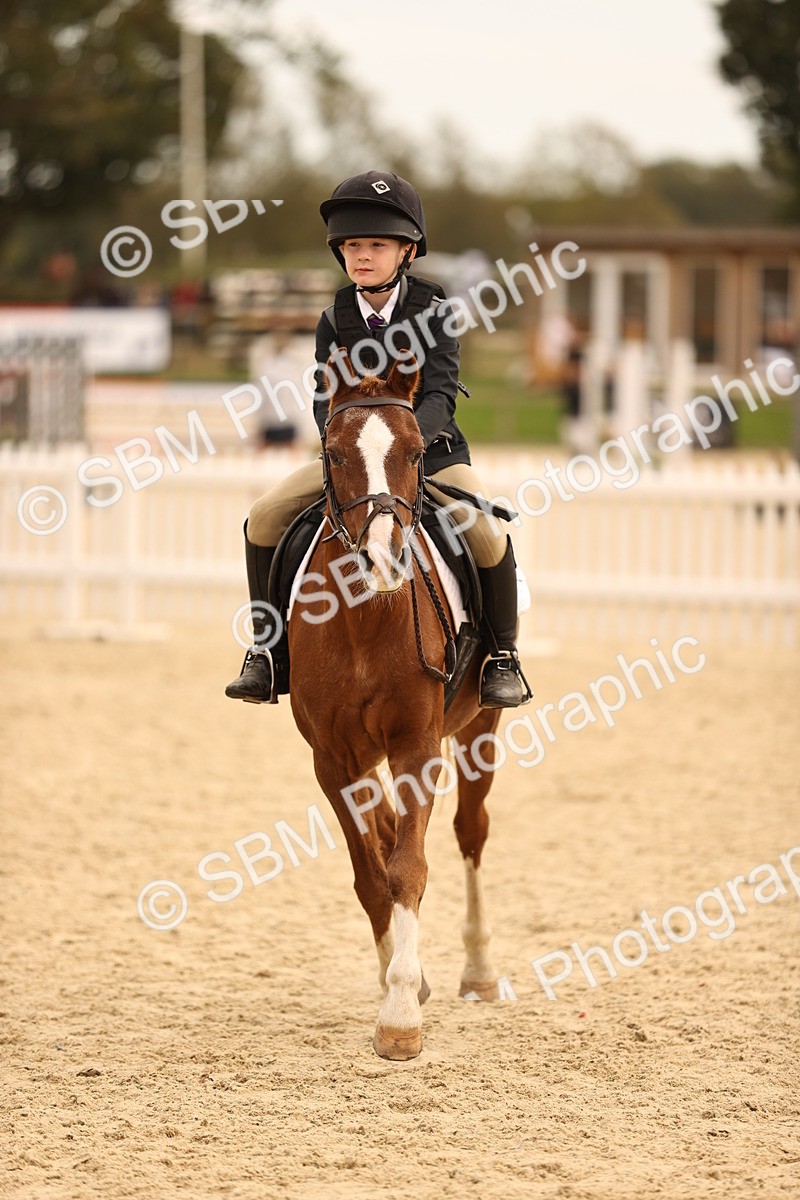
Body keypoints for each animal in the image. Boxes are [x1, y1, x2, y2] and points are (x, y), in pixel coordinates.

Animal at [289, 352, 505, 1060]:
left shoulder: (418, 747)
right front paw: (398, 980)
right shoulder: (333, 759)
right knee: (384, 832)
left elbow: (408, 867)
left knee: (470, 833)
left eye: (415, 451)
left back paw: (478, 971)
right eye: (332, 452)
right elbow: (370, 873)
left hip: (480, 728)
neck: (363, 617)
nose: (383, 560)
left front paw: (401, 1014)